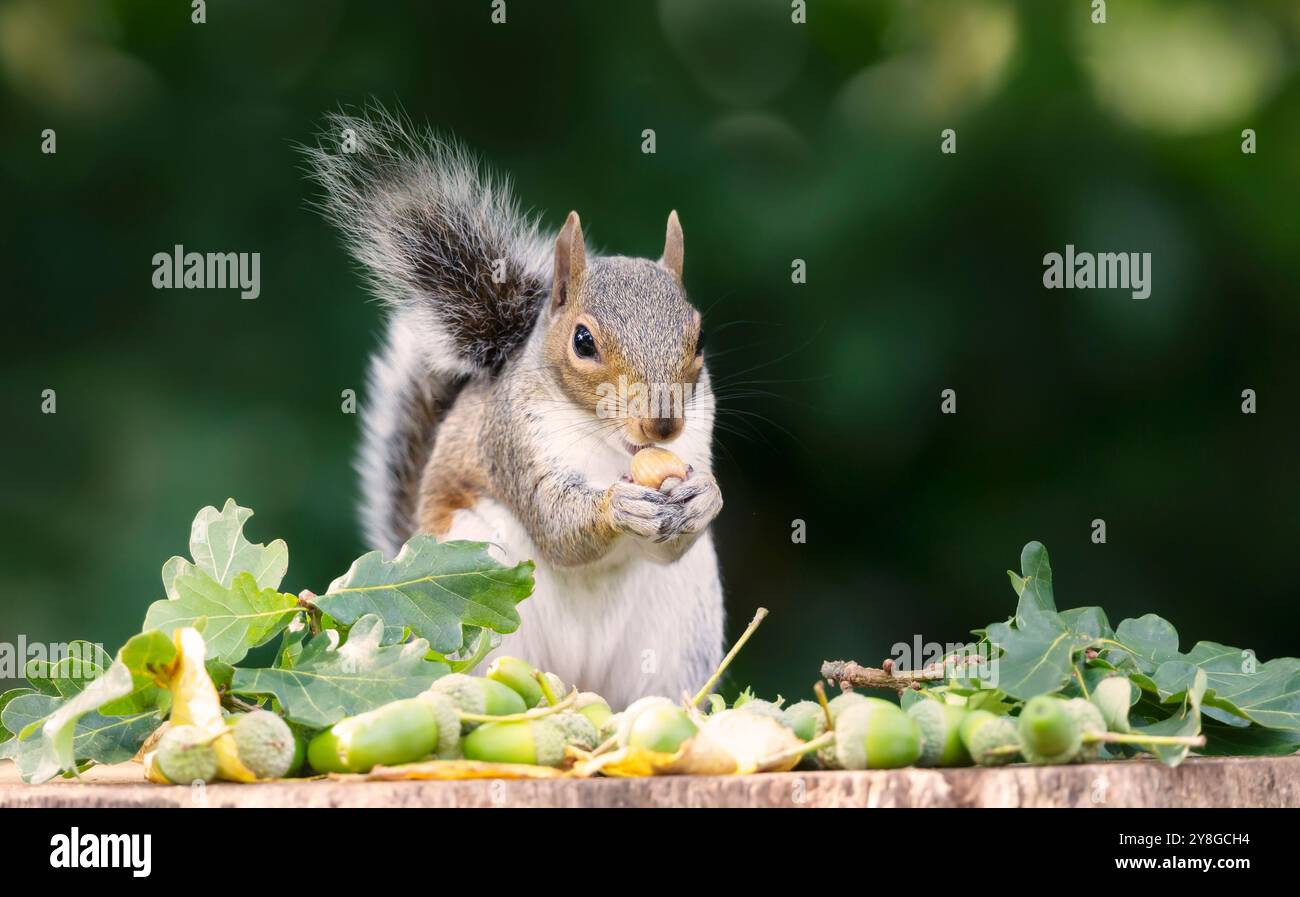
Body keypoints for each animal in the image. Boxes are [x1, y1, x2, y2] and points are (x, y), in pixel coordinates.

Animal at [308, 109, 728, 707]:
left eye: (700, 338)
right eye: (582, 341)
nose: (663, 424)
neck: (610, 448)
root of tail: (580, 679)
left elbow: (674, 537)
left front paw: (705, 495)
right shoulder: (512, 440)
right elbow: (556, 523)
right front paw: (616, 508)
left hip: (683, 626)